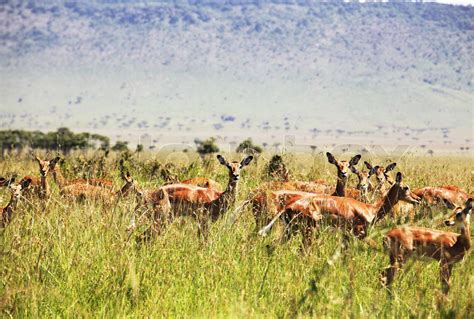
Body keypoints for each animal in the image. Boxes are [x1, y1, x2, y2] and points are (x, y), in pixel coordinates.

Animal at [262, 174, 420, 241]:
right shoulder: (359, 233)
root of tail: (288, 206)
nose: (418, 199)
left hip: (291, 230)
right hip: (308, 231)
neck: (371, 209)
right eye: (406, 187)